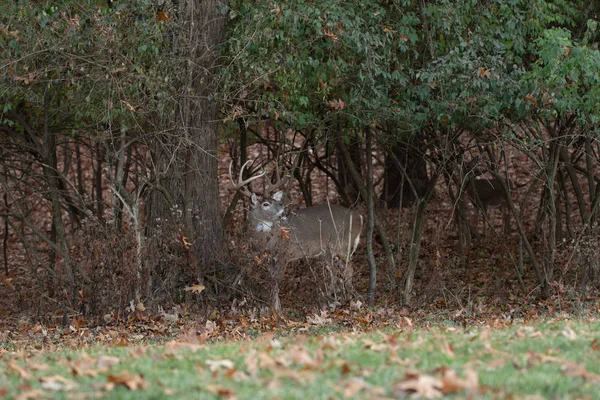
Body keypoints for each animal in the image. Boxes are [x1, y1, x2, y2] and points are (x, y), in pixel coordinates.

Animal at [229, 161, 360, 310]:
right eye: (266, 204)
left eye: (276, 201)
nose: (282, 211)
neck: (267, 240)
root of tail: (359, 217)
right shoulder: (271, 257)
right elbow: (272, 279)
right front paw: (275, 306)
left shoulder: (286, 253)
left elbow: (276, 280)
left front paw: (276, 310)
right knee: (341, 271)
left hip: (341, 245)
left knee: (347, 269)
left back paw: (340, 300)